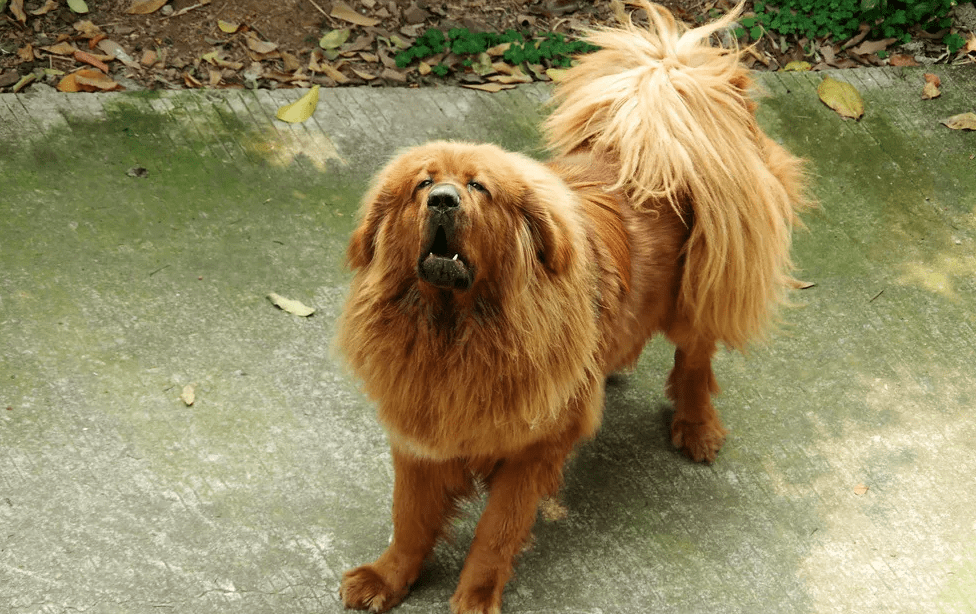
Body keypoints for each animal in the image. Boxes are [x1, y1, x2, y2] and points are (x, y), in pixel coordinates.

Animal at [336, 2, 808, 612]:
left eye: (479, 188)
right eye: (423, 184)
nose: (442, 200)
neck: (457, 328)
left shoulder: (532, 451)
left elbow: (495, 532)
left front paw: (475, 595)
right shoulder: (421, 434)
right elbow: (410, 518)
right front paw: (388, 577)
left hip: (700, 286)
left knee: (695, 357)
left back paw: (696, 425)